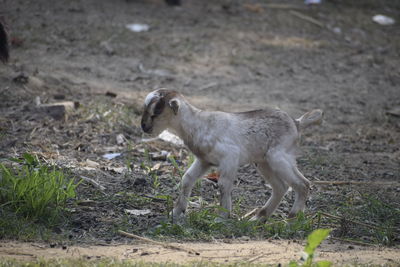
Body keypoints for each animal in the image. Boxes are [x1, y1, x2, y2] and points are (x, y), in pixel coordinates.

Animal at [141, 89, 322, 221]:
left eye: (156, 112)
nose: (144, 127)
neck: (198, 123)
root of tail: (297, 123)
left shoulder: (230, 157)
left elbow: (223, 185)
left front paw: (221, 218)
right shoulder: (204, 161)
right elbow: (187, 179)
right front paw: (176, 213)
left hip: (278, 157)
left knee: (303, 184)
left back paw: (292, 218)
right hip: (264, 162)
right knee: (281, 187)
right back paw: (257, 219)